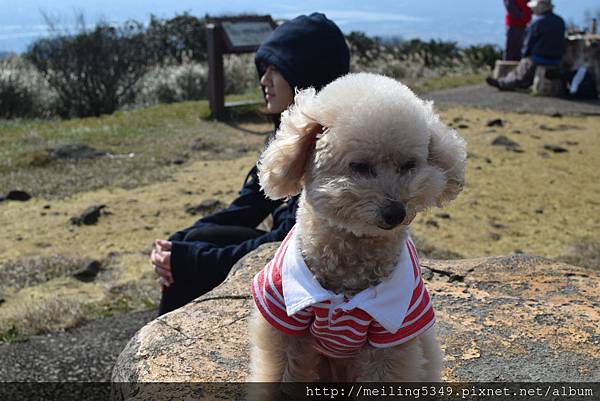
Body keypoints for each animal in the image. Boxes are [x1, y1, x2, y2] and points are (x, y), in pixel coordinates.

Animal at [246, 72, 466, 384]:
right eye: (360, 166)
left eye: (408, 165)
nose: (395, 212)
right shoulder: (282, 317)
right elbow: (280, 377)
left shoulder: (394, 334)